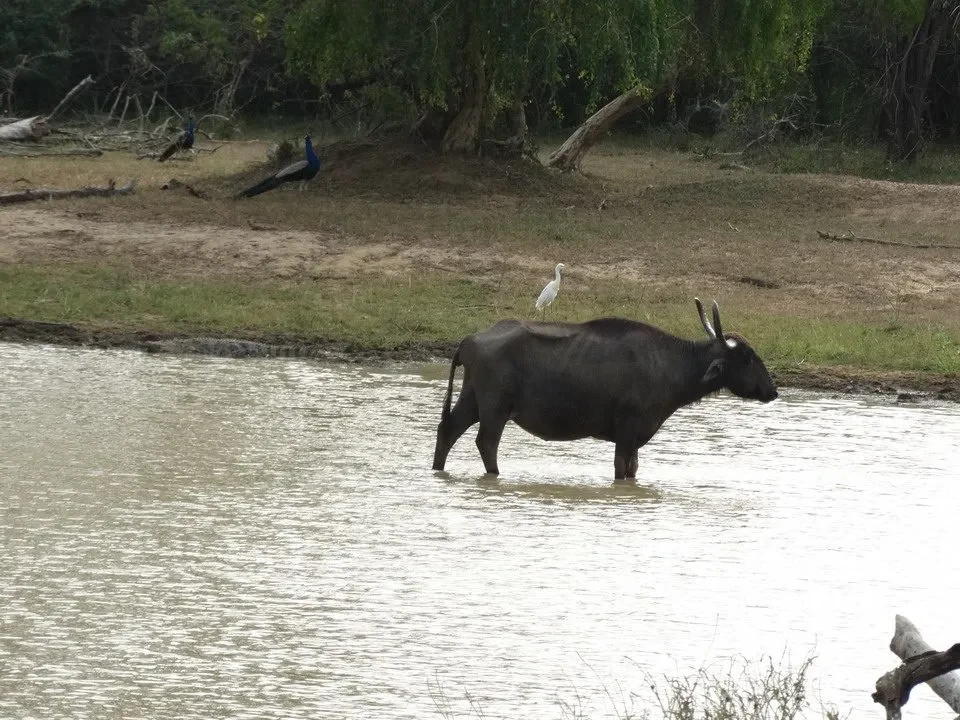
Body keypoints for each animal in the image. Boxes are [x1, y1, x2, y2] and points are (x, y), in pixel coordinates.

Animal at [432, 298, 778, 480]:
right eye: (747, 357)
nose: (772, 390)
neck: (669, 365)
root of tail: (470, 340)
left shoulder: (637, 436)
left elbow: (634, 468)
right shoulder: (626, 428)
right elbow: (621, 469)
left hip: (472, 399)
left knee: (447, 429)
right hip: (495, 407)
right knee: (486, 442)